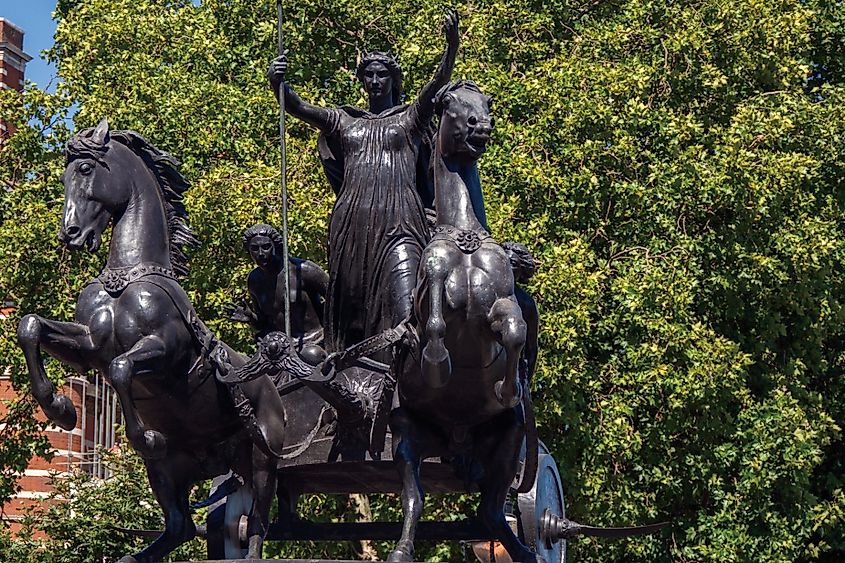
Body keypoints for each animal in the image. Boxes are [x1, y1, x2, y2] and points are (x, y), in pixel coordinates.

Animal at [16, 120, 286, 563]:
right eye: (63, 176)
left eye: (86, 169)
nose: (70, 234)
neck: (126, 276)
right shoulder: (90, 347)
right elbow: (31, 326)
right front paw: (61, 409)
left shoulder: (165, 351)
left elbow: (123, 367)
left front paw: (143, 435)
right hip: (167, 470)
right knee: (180, 525)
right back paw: (133, 556)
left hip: (262, 459)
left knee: (258, 523)